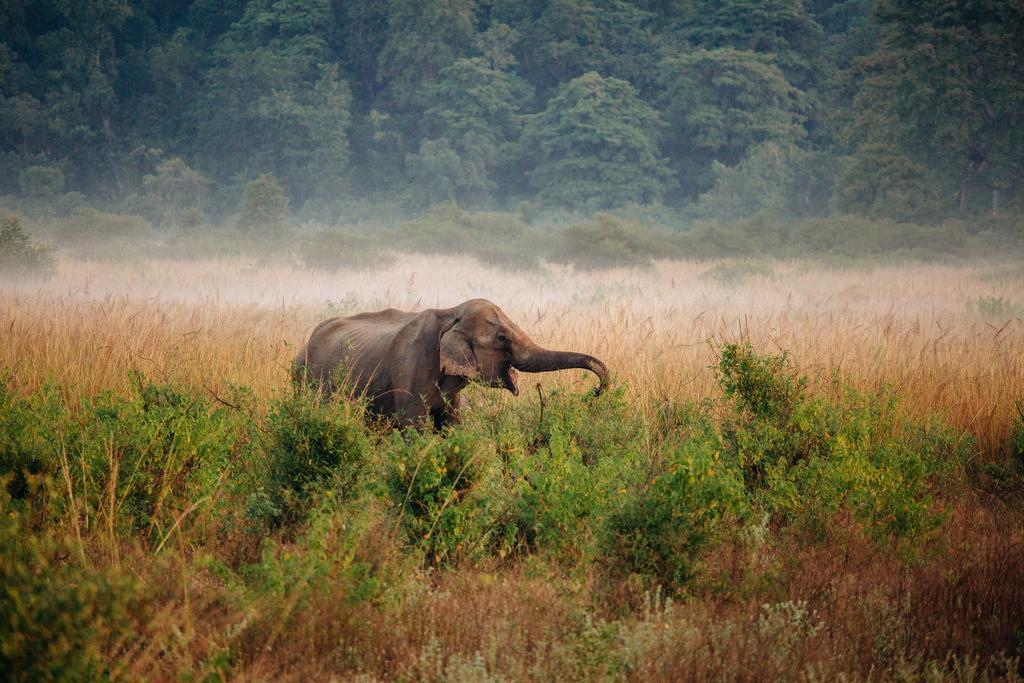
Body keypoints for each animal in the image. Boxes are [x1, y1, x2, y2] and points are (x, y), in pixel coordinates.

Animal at [290, 299, 606, 428]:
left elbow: (452, 426)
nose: (595, 392)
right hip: (302, 381)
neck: (450, 312)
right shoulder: (410, 368)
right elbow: (413, 426)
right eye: (502, 338)